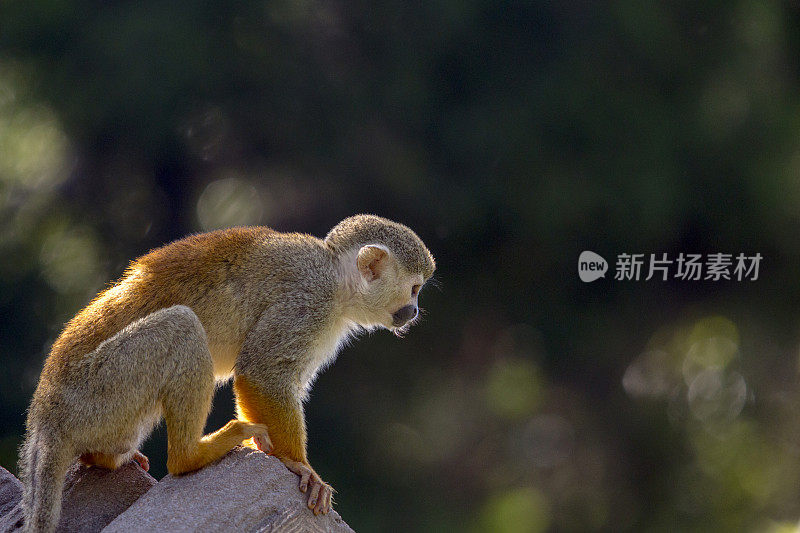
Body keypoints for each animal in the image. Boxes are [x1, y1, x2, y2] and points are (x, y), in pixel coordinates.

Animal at [17, 214, 438, 528]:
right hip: (95, 390)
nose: (415, 312)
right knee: (183, 326)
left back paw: (106, 458)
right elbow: (261, 372)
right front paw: (299, 466)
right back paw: (190, 455)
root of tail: (44, 418)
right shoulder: (308, 302)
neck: (337, 278)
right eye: (414, 289)